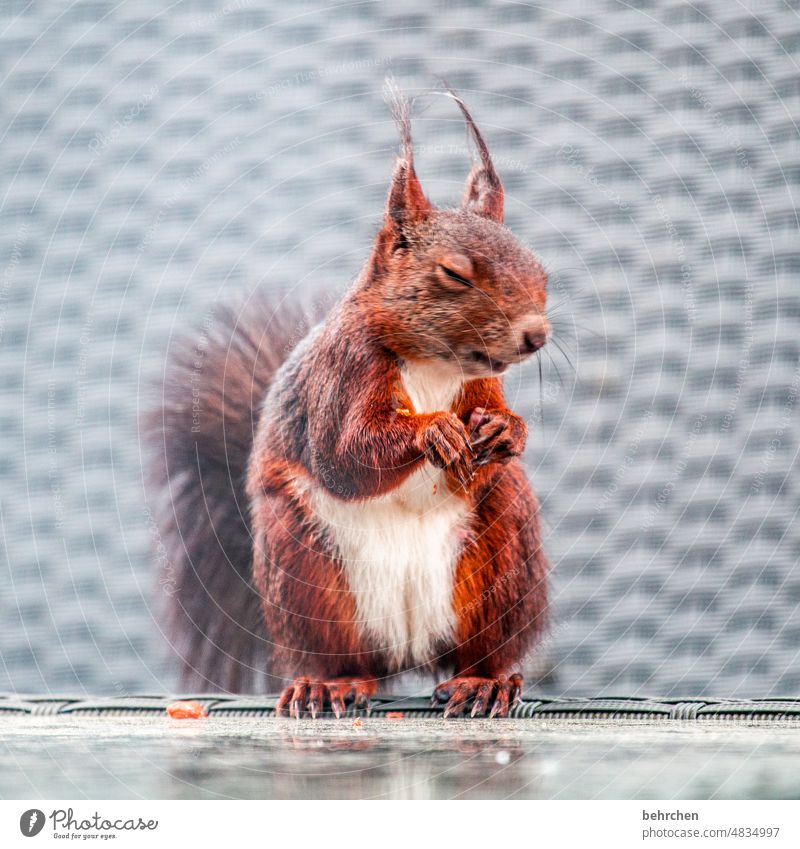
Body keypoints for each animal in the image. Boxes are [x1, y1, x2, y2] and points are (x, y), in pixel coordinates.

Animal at [147, 86, 552, 720]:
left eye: (541, 269)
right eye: (453, 274)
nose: (536, 335)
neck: (433, 364)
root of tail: (408, 652)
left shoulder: (481, 388)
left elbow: (486, 432)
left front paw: (510, 431)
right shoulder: (341, 374)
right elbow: (346, 457)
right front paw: (433, 431)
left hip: (502, 552)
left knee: (483, 649)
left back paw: (483, 682)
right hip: (303, 567)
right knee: (340, 658)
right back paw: (328, 685)